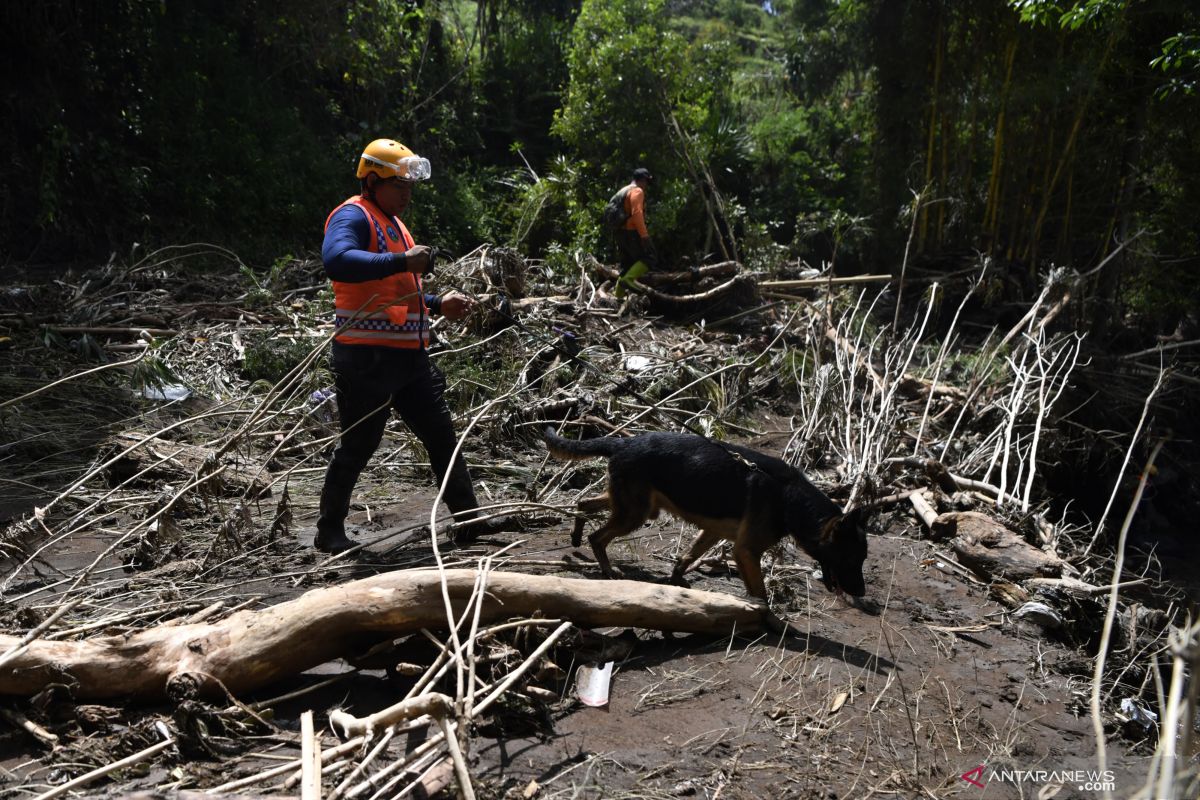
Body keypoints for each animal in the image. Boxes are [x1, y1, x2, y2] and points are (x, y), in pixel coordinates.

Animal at [542, 429, 864, 597]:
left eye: (860, 560)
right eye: (850, 559)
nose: (860, 593)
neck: (789, 497)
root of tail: (623, 441)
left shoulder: (713, 532)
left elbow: (687, 557)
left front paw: (676, 580)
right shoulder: (746, 551)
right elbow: (759, 592)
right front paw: (766, 619)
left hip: (631, 505)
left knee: (583, 503)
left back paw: (576, 536)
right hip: (635, 514)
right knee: (598, 537)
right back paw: (608, 571)